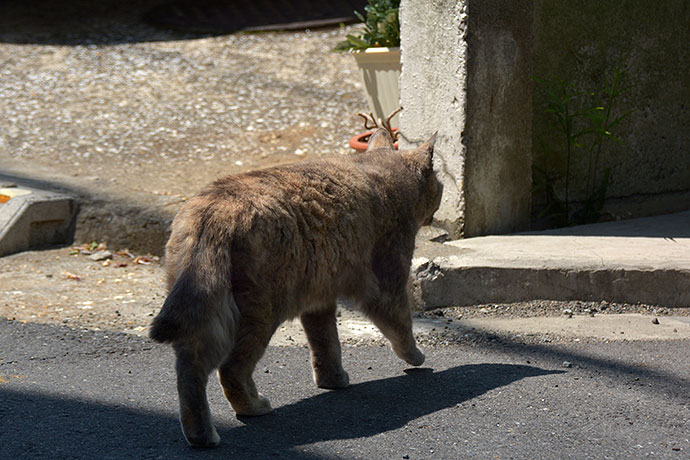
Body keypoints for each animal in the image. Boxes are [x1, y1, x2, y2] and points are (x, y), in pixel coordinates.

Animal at [150, 127, 440, 448]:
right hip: (255, 312)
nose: (440, 196)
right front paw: (416, 357)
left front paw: (333, 380)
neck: (380, 172)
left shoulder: (320, 298)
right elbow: (401, 327)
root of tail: (213, 211)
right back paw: (251, 409)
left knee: (190, 369)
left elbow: (326, 343)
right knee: (229, 369)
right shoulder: (387, 282)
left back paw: (200, 435)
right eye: (439, 183)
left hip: (203, 307)